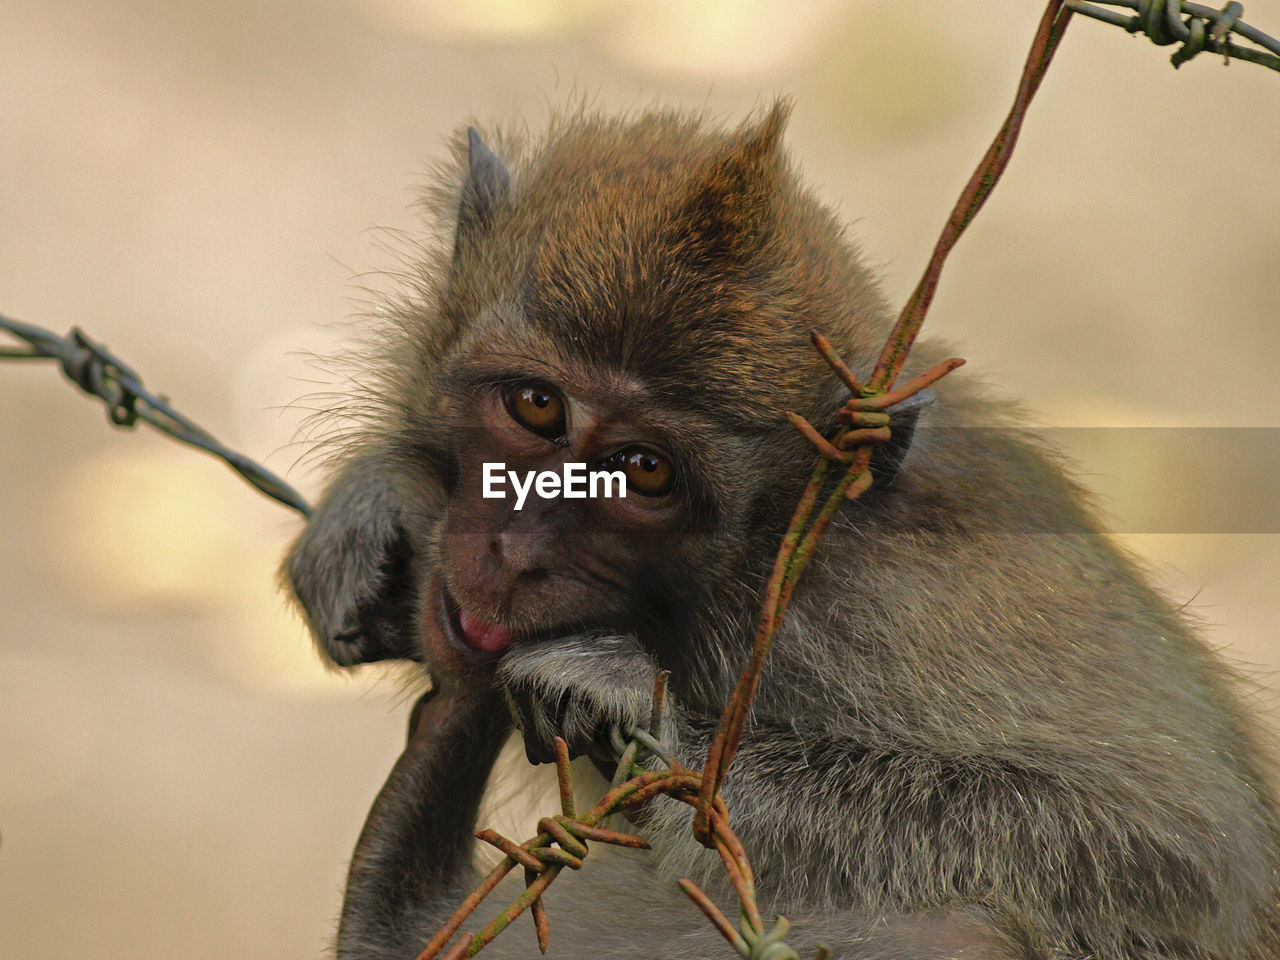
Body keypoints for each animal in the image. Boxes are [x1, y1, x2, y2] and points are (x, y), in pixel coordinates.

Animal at [288, 104, 1280, 960]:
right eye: (537, 406)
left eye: (646, 470)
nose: (516, 553)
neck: (765, 556)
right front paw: (370, 504)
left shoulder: (879, 608)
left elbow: (1170, 846)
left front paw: (641, 713)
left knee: (967, 925)